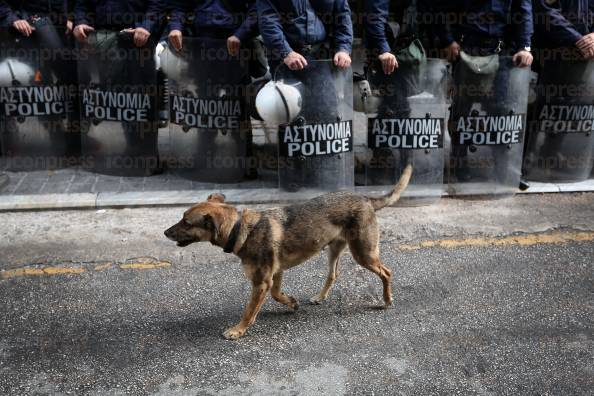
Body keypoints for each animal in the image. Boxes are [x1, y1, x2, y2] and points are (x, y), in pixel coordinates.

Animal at [164, 166, 410, 338]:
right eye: (182, 217)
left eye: (186, 222)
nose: (165, 232)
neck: (241, 229)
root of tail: (365, 198)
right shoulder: (275, 273)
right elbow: (276, 294)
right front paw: (291, 302)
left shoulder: (262, 281)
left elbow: (249, 310)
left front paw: (238, 330)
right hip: (334, 250)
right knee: (333, 274)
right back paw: (320, 297)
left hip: (364, 253)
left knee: (386, 272)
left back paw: (387, 299)